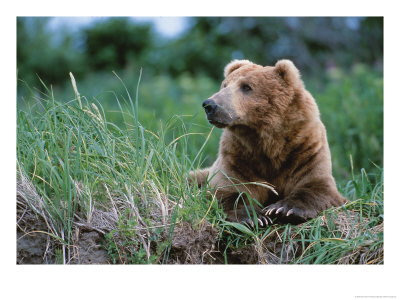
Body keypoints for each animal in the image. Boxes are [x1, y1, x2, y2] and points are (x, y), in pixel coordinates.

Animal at [189, 59, 346, 226]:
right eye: (224, 85)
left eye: (246, 86)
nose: (209, 105)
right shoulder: (237, 156)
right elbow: (228, 190)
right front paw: (255, 217)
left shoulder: (305, 149)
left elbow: (317, 186)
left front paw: (283, 209)